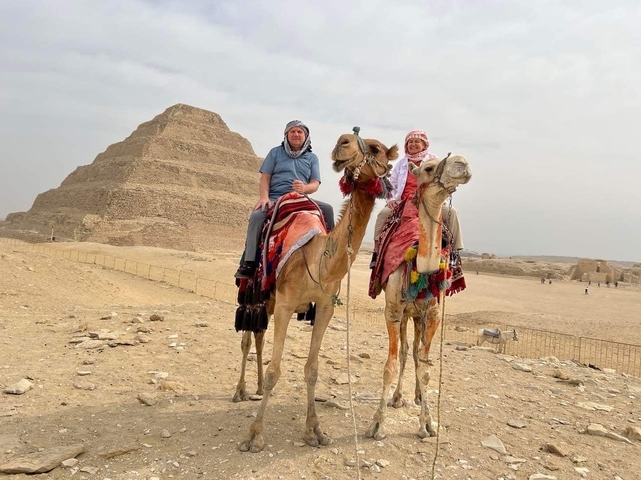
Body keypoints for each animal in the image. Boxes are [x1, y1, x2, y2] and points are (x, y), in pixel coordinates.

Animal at [238, 131, 399, 453]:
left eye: (376, 148)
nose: (343, 142)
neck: (318, 260)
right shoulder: (286, 305)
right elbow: (276, 370)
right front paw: (254, 435)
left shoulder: (325, 308)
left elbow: (312, 369)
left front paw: (314, 431)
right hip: (255, 292)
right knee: (247, 340)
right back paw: (240, 390)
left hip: (269, 300)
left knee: (259, 336)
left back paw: (257, 387)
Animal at [366, 154, 472, 441]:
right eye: (428, 167)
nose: (462, 163)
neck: (420, 269)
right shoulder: (392, 312)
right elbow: (390, 365)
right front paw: (377, 424)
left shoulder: (433, 314)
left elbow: (424, 368)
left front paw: (427, 424)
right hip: (405, 314)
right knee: (405, 352)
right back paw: (398, 397)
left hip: (417, 315)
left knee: (414, 352)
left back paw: (415, 396)